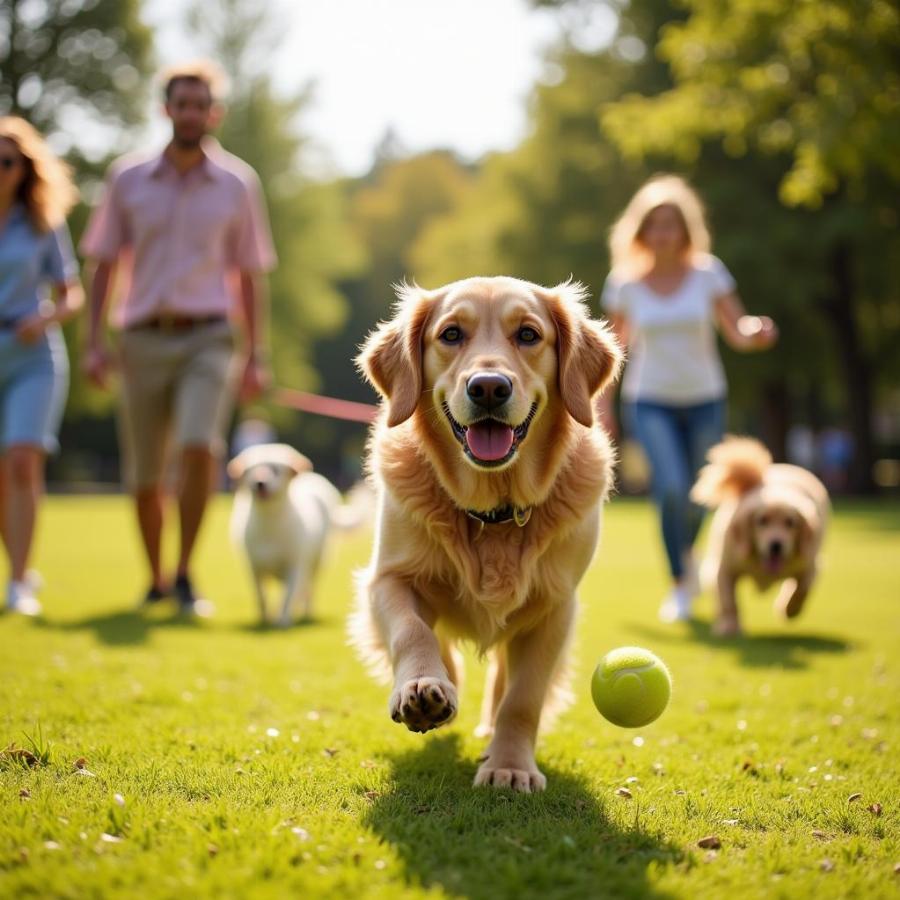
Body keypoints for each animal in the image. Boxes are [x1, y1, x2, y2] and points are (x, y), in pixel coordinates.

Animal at [227, 442, 354, 624]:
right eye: (252, 469)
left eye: (275, 469)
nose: (260, 482)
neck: (269, 523)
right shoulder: (254, 567)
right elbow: (261, 596)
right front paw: (264, 619)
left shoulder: (293, 567)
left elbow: (288, 597)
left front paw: (284, 620)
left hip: (316, 562)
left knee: (309, 589)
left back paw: (306, 612)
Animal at [348, 278, 624, 792]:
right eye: (451, 334)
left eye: (529, 335)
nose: (489, 387)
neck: (492, 510)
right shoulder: (388, 579)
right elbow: (413, 631)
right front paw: (422, 687)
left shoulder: (554, 607)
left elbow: (523, 696)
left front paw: (510, 765)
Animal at [688, 434, 828, 632]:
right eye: (762, 521)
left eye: (790, 523)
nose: (776, 545)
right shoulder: (725, 568)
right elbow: (729, 601)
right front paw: (729, 626)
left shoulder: (810, 564)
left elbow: (801, 589)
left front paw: (789, 609)